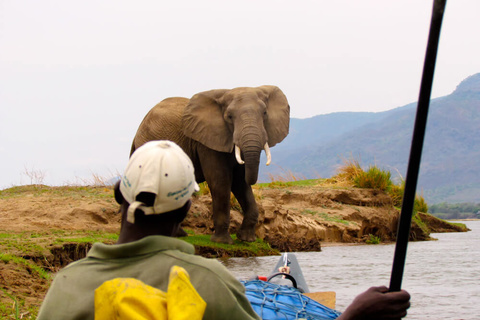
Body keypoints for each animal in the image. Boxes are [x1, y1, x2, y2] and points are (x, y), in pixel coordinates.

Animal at [129, 85, 290, 242]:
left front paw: (246, 239)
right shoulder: (206, 142)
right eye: (229, 117)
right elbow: (221, 181)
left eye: (264, 113)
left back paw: (179, 234)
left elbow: (240, 182)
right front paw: (222, 241)